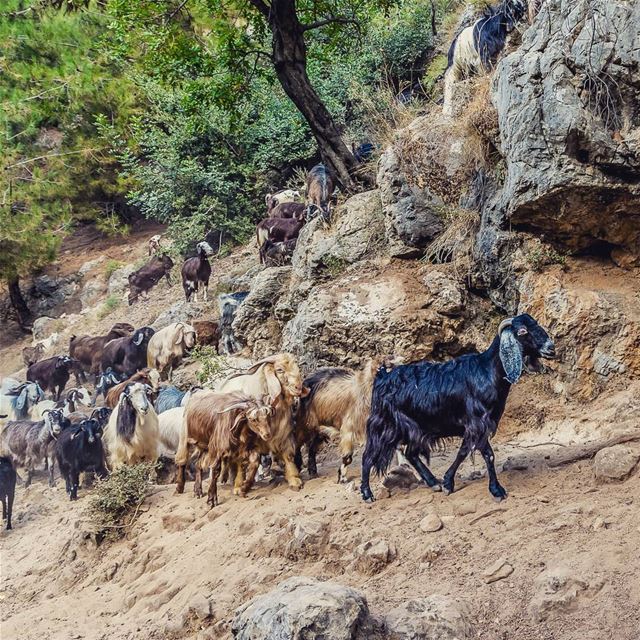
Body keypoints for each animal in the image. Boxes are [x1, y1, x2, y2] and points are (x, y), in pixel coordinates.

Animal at [220, 352, 308, 492]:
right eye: (279, 369)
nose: (298, 387)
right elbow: (252, 460)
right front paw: (242, 486)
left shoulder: (283, 433)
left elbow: (288, 455)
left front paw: (294, 480)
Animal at [360, 316, 556, 504]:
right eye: (522, 331)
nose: (551, 348)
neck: (487, 372)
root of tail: (382, 377)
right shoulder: (478, 422)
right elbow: (488, 454)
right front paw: (497, 490)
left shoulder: (474, 427)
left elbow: (463, 452)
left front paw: (447, 483)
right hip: (384, 425)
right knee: (368, 456)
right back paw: (367, 494)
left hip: (415, 427)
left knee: (411, 453)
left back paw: (433, 483)